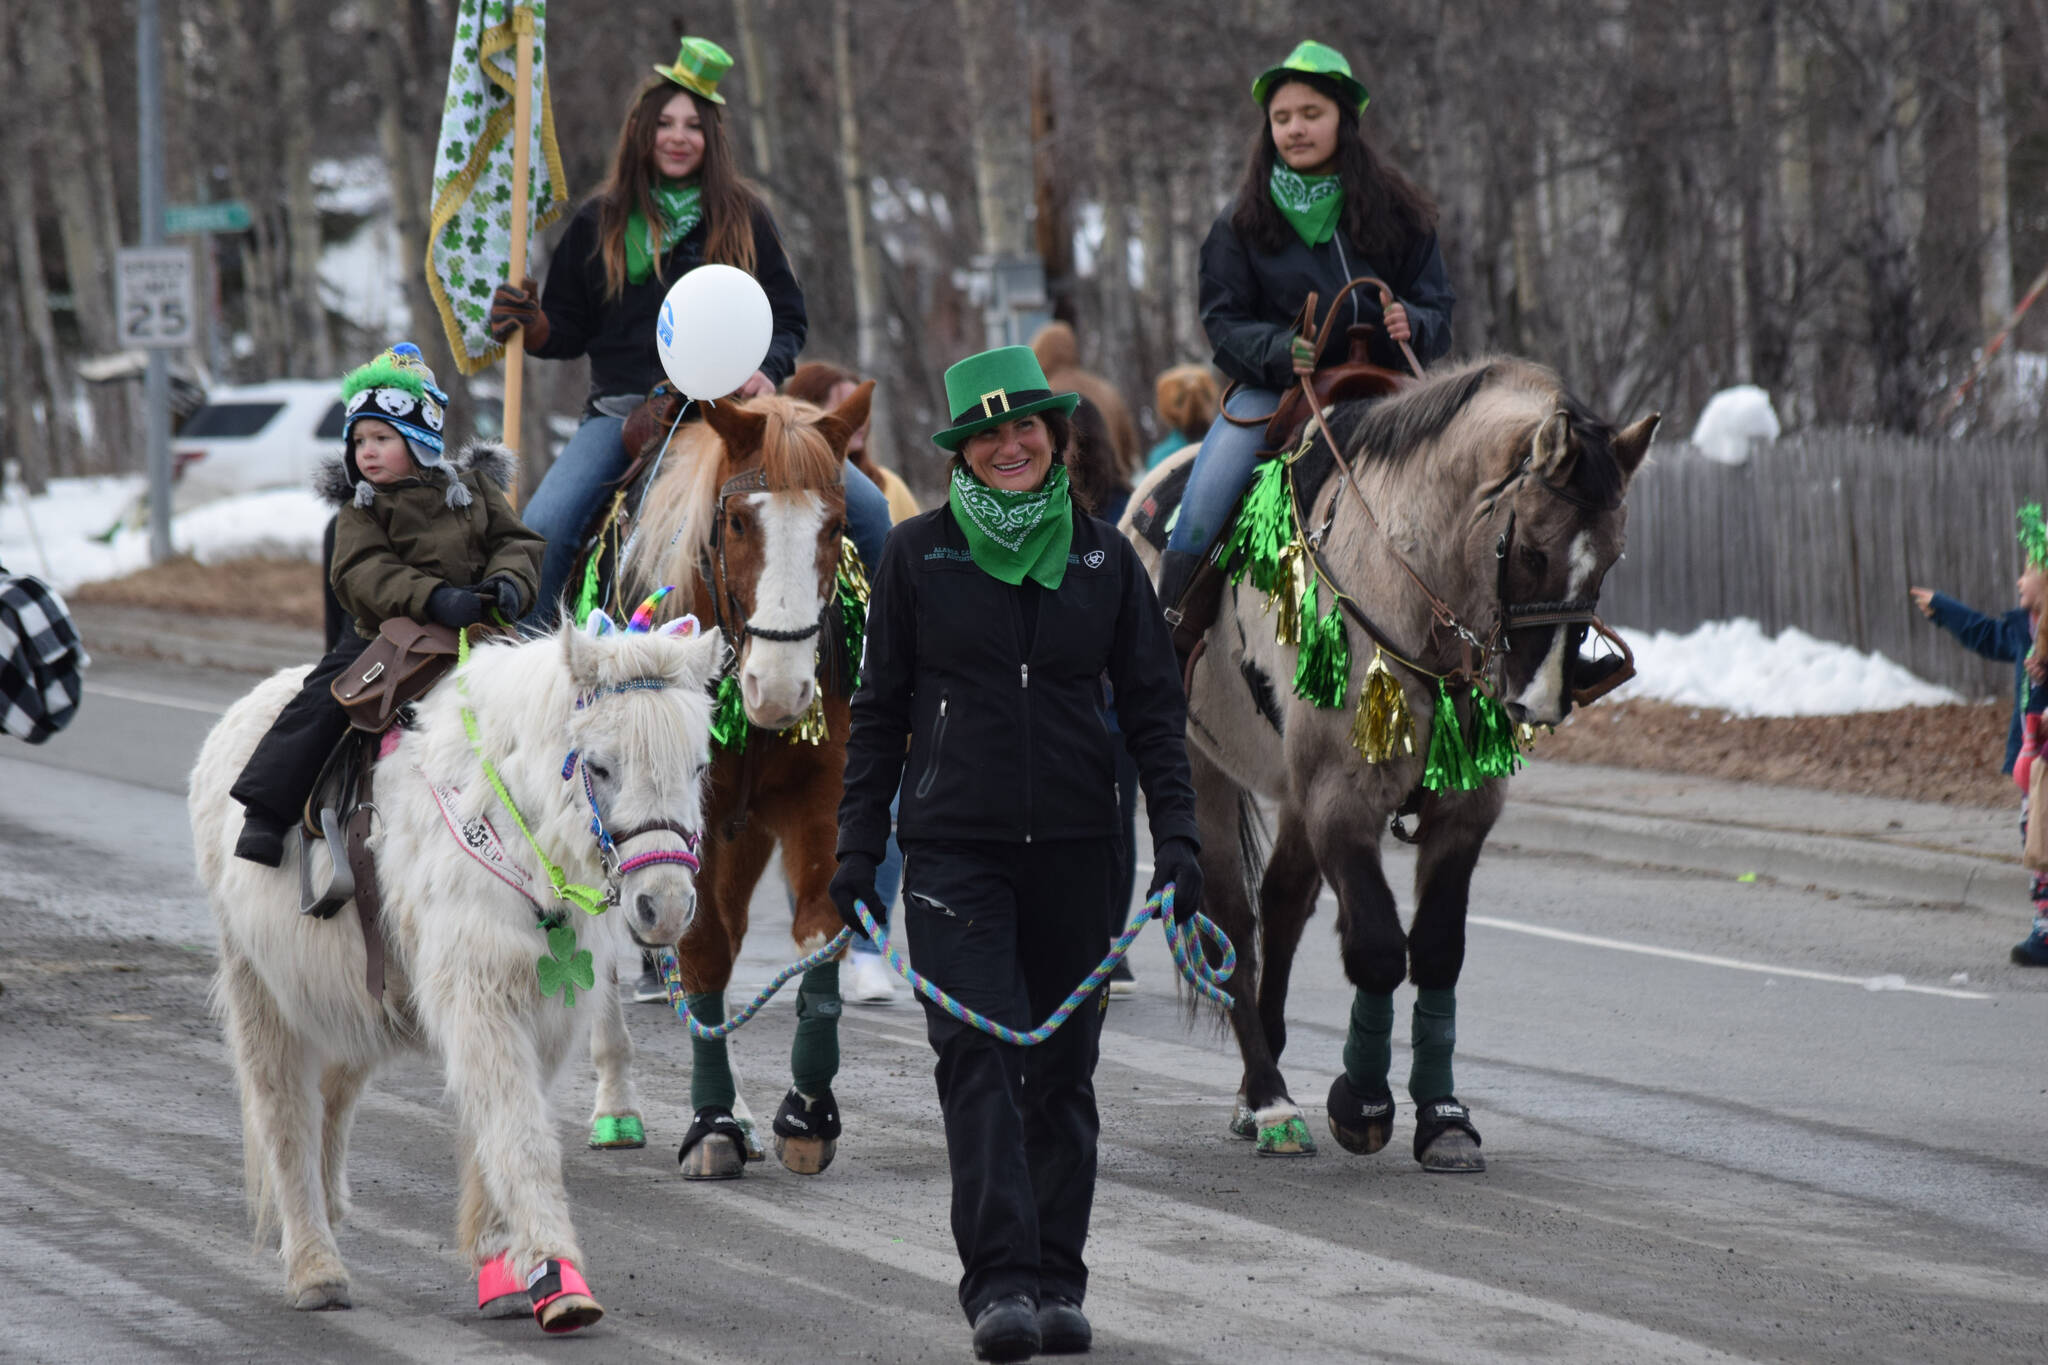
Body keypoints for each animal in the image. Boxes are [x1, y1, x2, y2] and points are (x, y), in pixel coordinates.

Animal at [186, 609, 729, 1334]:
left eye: (698, 764)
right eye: (601, 765)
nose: (664, 907)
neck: (511, 825)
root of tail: (231, 725)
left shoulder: (540, 1017)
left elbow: (496, 1134)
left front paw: (504, 1266)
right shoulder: (480, 1000)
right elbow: (519, 1136)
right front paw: (559, 1274)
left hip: (352, 997)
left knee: (333, 1091)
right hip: (261, 987)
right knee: (284, 1111)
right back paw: (314, 1266)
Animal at [1130, 360, 1654, 1178]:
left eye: (1611, 560)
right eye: (1532, 551)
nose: (1539, 702)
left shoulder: (1464, 809)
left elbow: (1435, 950)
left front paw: (1442, 1118)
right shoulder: (1339, 799)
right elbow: (1377, 946)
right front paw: (1362, 1104)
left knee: (1282, 902)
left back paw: (1258, 1086)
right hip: (1199, 771)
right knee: (1235, 923)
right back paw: (1270, 1098)